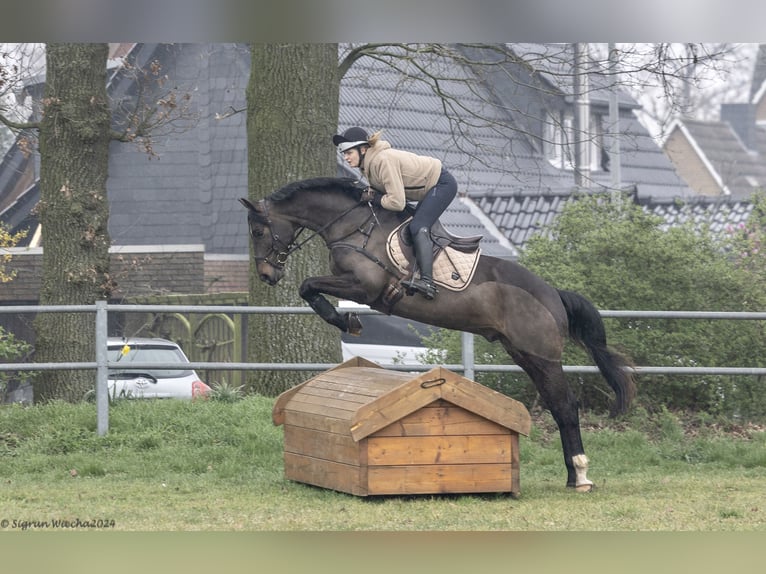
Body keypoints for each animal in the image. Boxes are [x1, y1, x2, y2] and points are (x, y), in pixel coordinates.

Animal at [240, 177, 636, 496]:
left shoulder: (367, 287)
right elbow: (309, 288)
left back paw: (581, 475)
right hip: (523, 354)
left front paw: (345, 320)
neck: (354, 226)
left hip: (541, 355)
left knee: (566, 406)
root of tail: (553, 293)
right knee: (557, 406)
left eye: (258, 232)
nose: (267, 275)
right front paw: (344, 319)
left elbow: (308, 285)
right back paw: (572, 474)